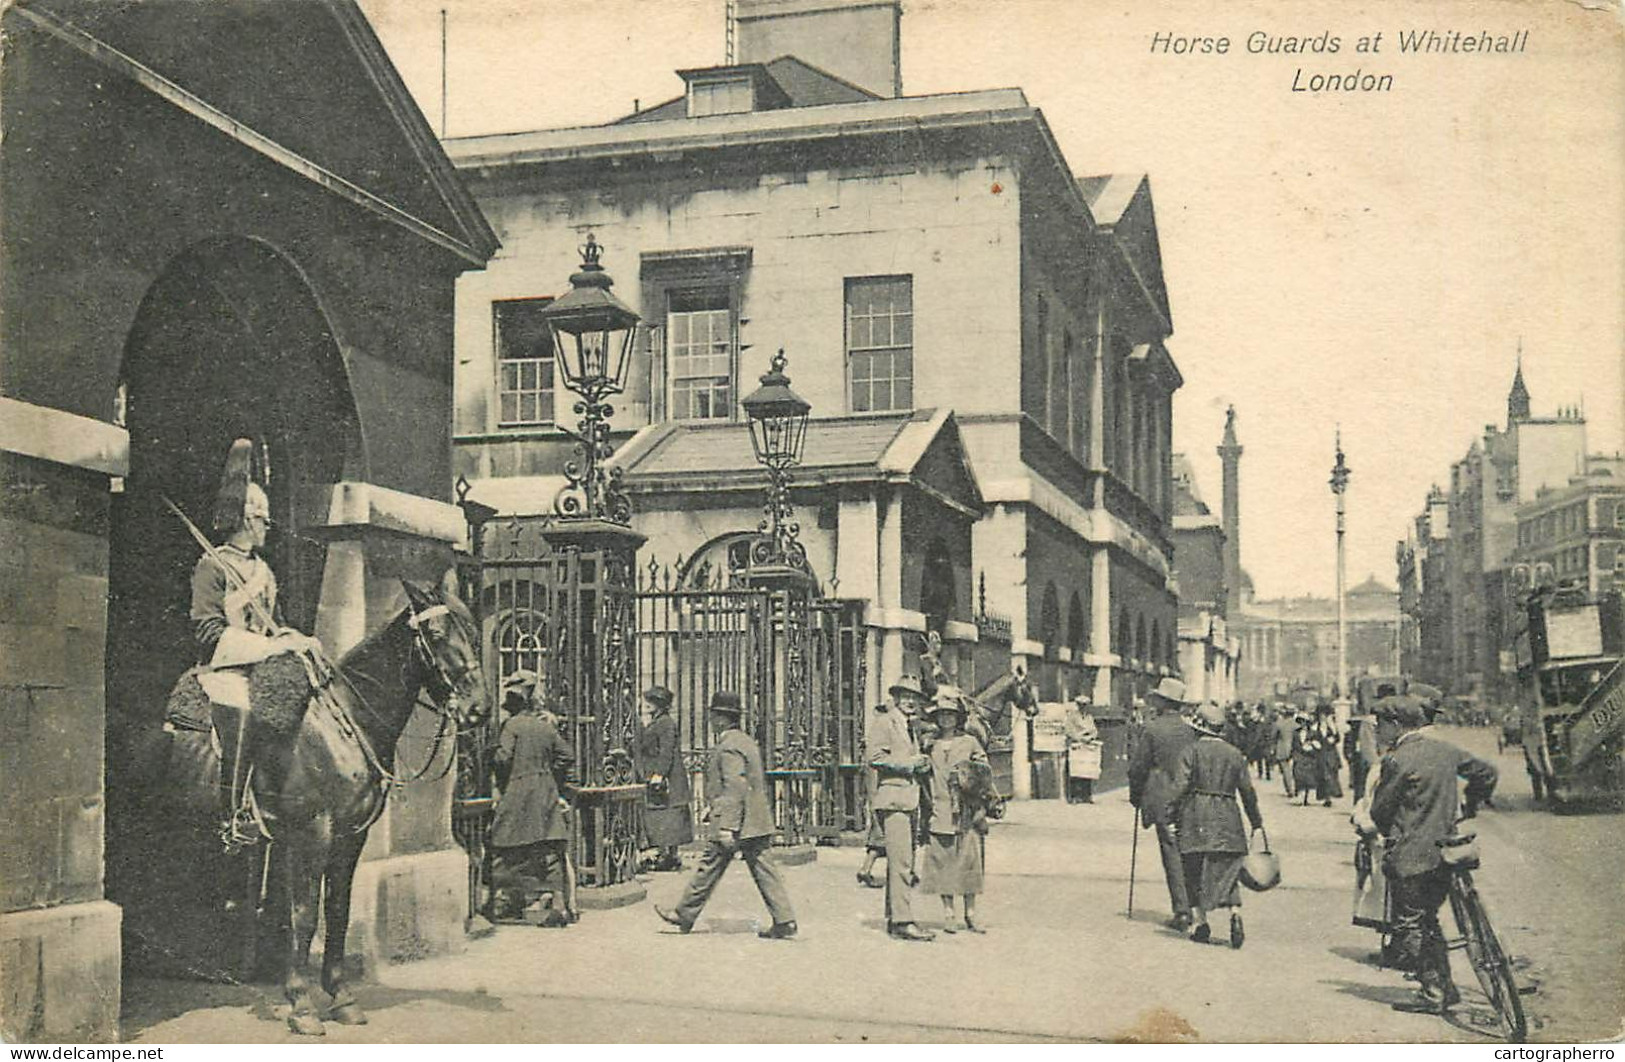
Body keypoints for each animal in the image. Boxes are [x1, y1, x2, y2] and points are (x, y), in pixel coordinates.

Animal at [240, 574, 481, 1039]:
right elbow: (303, 916)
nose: (478, 707)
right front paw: (301, 1005)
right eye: (437, 634)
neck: (347, 724)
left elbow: (338, 912)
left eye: (472, 631)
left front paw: (341, 997)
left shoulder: (349, 837)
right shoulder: (310, 834)